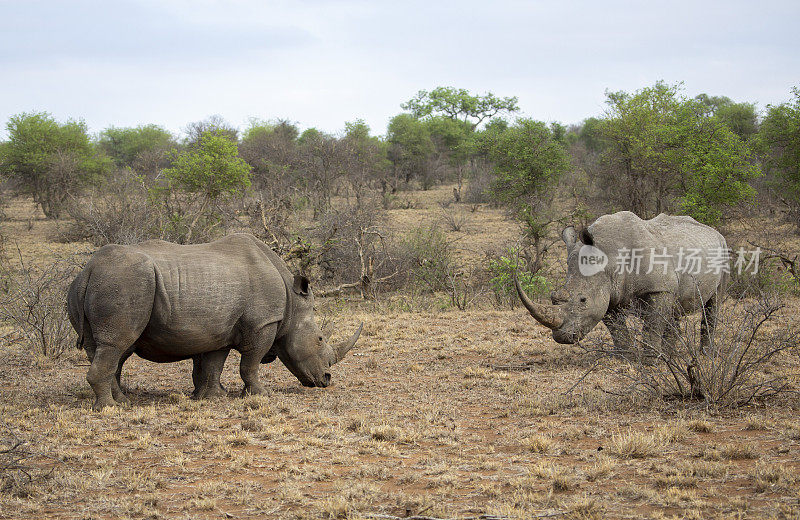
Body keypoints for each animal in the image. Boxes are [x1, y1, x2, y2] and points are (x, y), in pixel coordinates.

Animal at [69, 233, 362, 410]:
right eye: (320, 339)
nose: (326, 379)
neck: (292, 303)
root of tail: (89, 269)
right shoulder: (263, 324)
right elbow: (250, 363)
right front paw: (261, 395)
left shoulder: (219, 328)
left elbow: (213, 363)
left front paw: (212, 397)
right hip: (125, 282)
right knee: (116, 345)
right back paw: (110, 408)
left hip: (99, 284)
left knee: (108, 349)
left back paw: (122, 401)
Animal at [516, 211, 728, 354]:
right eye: (553, 297)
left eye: (583, 300)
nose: (561, 337)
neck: (610, 258)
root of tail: (713, 231)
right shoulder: (608, 290)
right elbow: (617, 329)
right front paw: (626, 356)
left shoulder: (657, 288)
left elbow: (652, 324)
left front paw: (651, 360)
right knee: (674, 307)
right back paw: (672, 356)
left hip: (724, 249)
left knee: (713, 304)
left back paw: (704, 355)